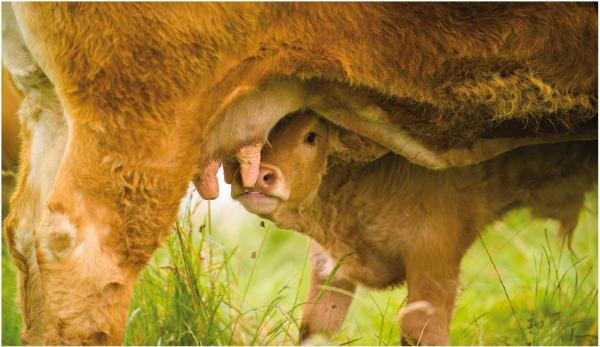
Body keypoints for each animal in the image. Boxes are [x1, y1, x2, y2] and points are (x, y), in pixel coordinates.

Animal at [230, 111, 596, 346]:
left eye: (310, 136)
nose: (259, 175)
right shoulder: (330, 265)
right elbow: (317, 325)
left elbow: (420, 329)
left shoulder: (435, 256)